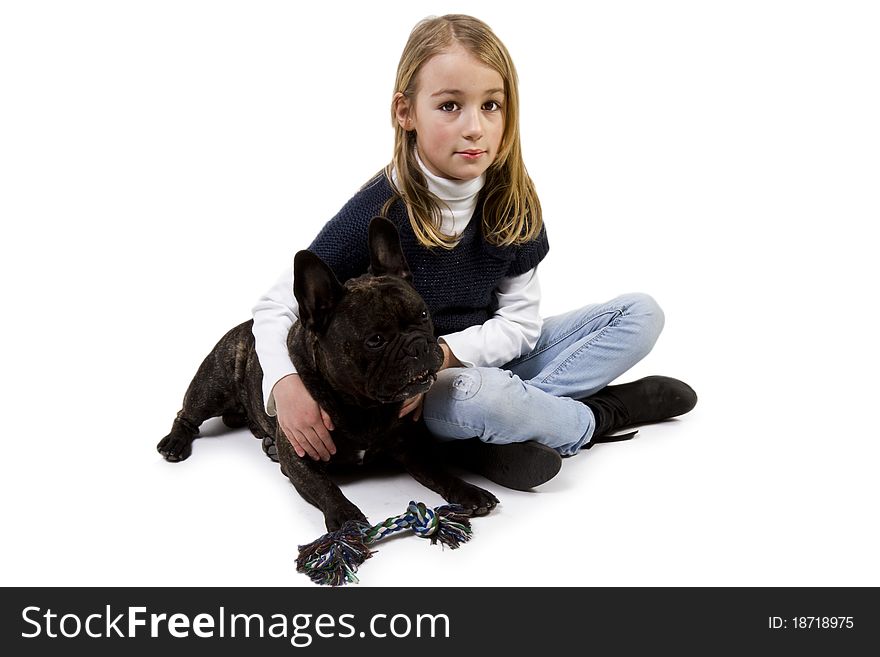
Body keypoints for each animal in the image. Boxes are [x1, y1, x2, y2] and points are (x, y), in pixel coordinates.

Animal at [156, 218, 496, 532]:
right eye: (375, 340)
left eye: (423, 315)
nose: (418, 345)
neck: (364, 406)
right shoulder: (300, 453)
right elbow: (324, 487)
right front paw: (346, 519)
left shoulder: (410, 446)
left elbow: (439, 471)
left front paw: (470, 492)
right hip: (212, 386)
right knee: (188, 414)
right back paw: (175, 442)